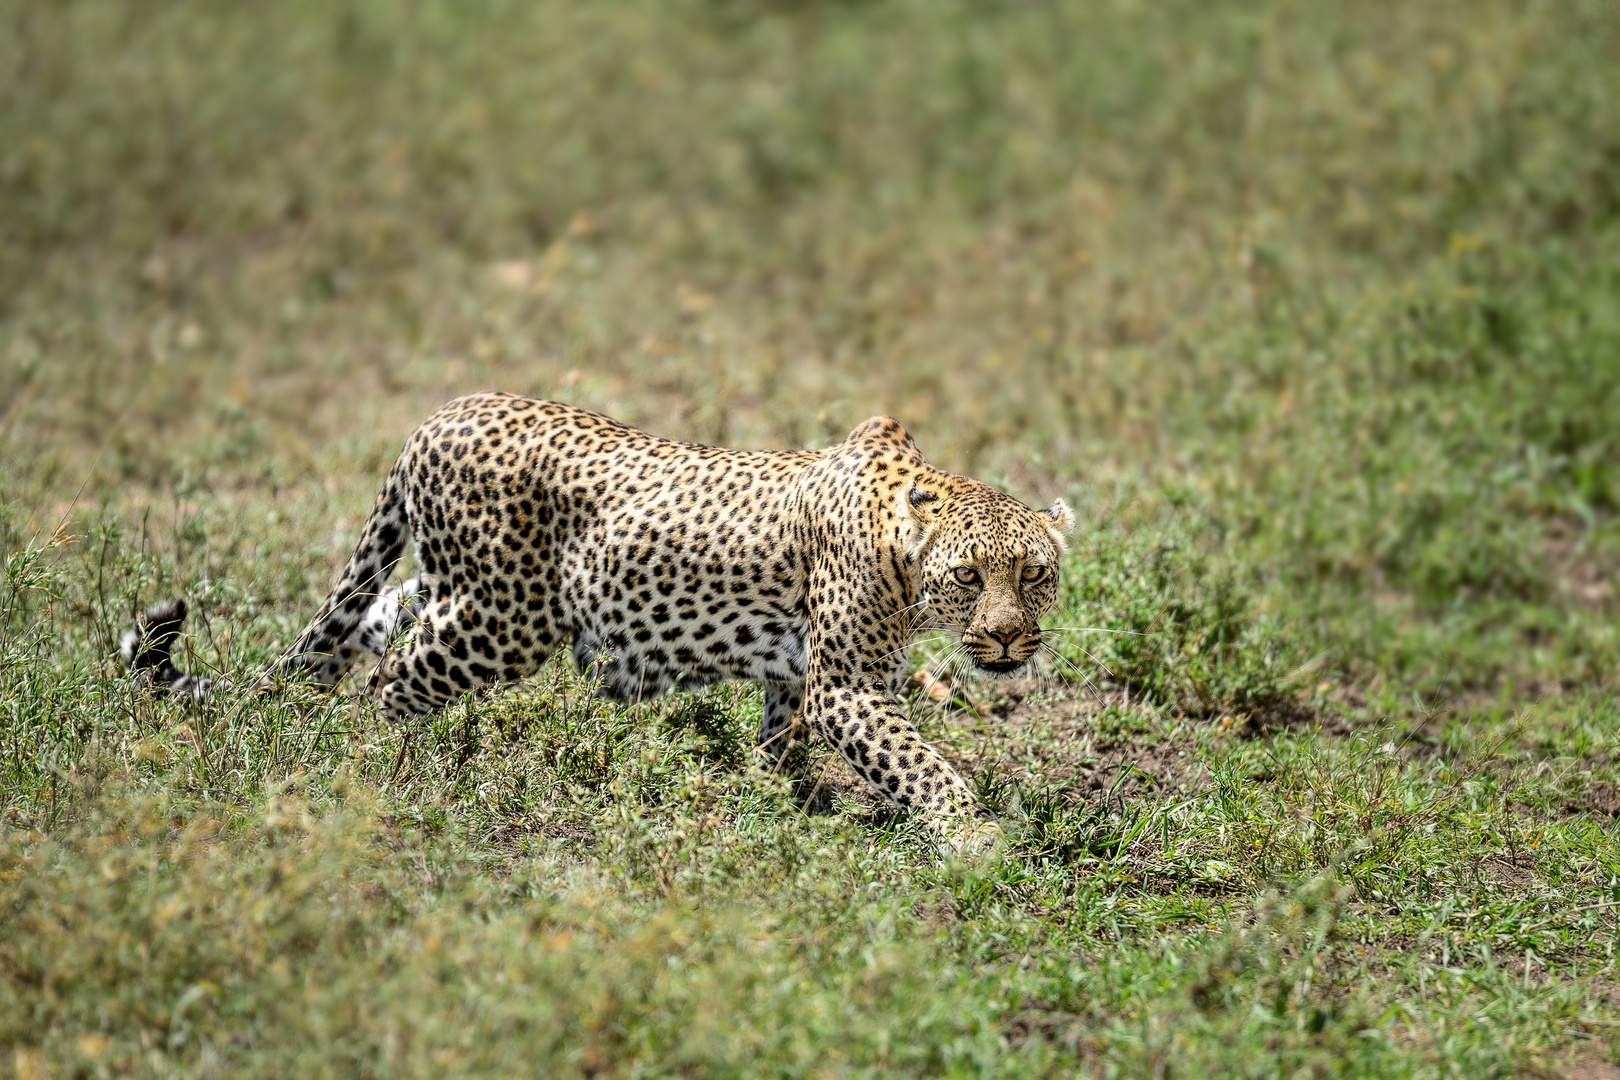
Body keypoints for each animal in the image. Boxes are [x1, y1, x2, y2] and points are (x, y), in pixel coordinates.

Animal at [123, 393, 1075, 848]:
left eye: (1034, 575)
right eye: (968, 576)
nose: (1004, 637)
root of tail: (433, 419)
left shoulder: (798, 674)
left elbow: (781, 741)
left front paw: (795, 804)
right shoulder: (849, 685)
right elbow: (921, 764)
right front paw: (976, 839)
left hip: (450, 587)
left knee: (372, 625)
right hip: (505, 620)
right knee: (390, 681)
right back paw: (399, 773)